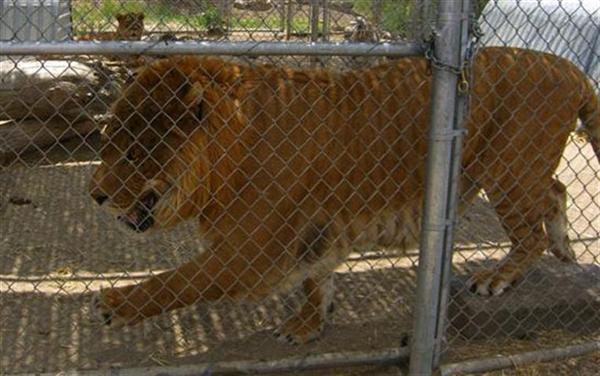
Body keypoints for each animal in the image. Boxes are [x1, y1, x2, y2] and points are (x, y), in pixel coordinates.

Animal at [89, 47, 600, 344]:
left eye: (133, 153)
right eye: (107, 143)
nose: (94, 195)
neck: (230, 148)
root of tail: (572, 68)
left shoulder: (252, 253)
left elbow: (180, 281)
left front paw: (116, 305)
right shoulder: (316, 229)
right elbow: (317, 280)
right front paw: (308, 326)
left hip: (510, 171)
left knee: (530, 231)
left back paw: (500, 276)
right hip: (516, 171)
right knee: (556, 190)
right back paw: (565, 249)